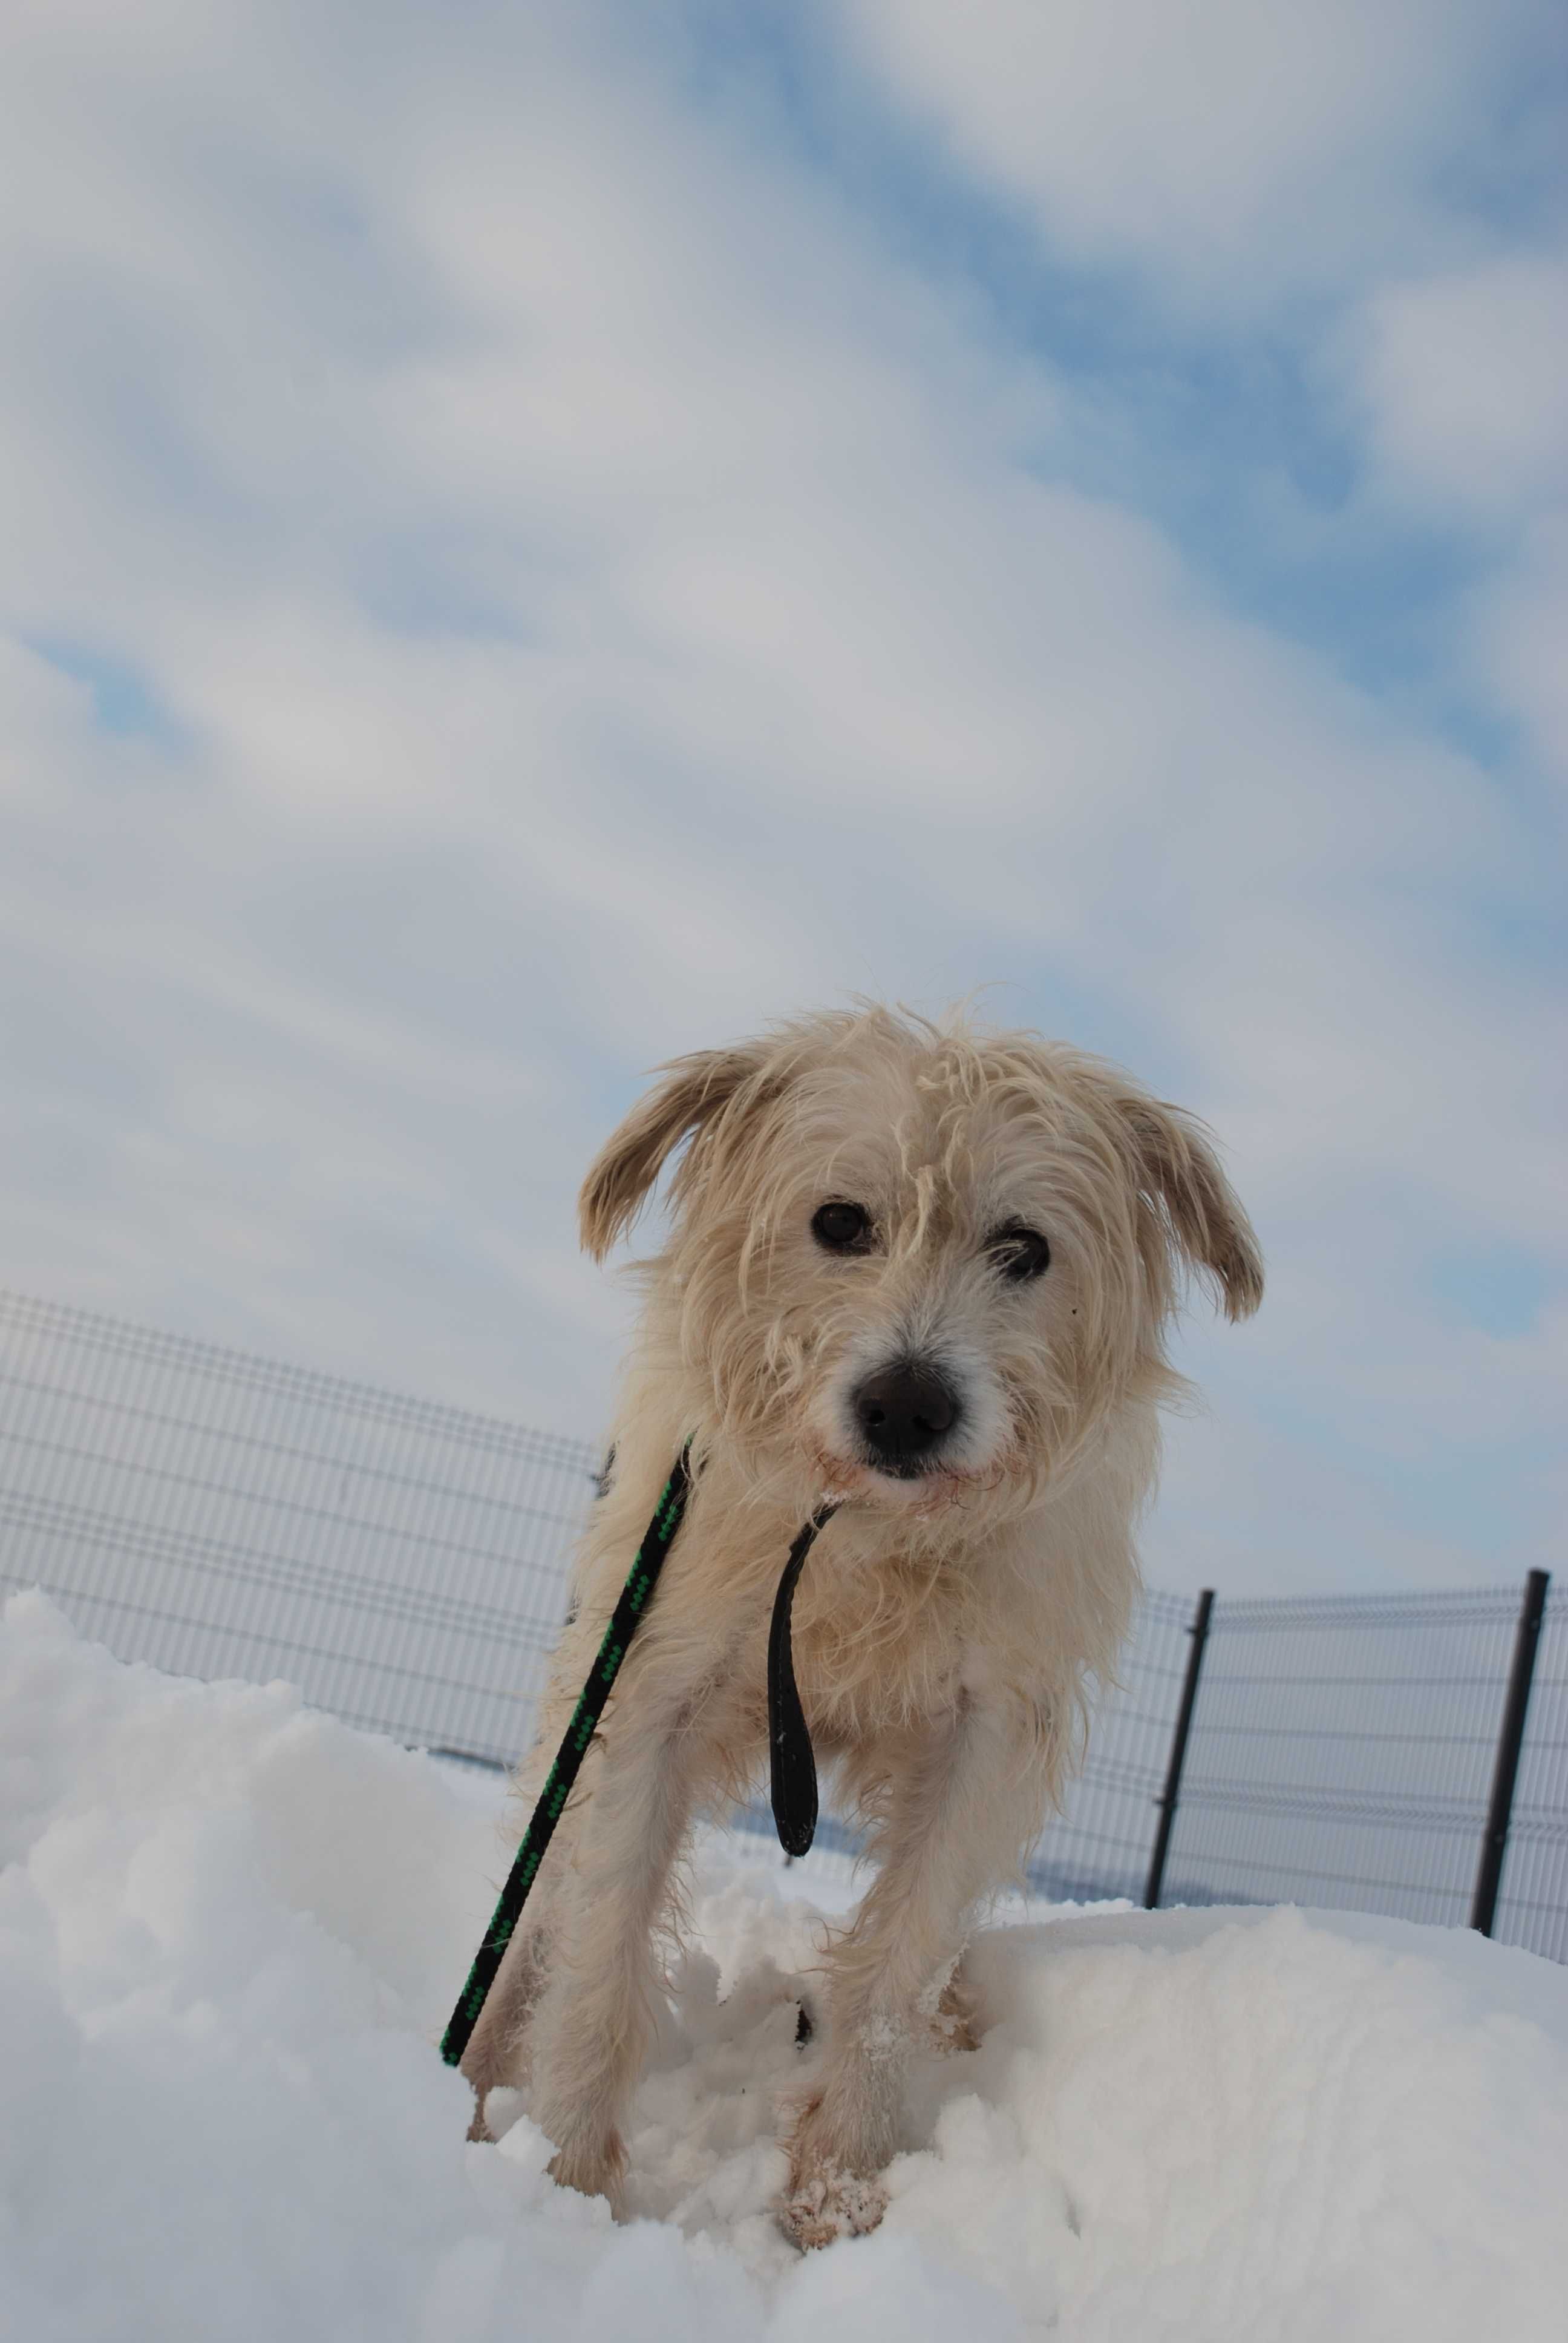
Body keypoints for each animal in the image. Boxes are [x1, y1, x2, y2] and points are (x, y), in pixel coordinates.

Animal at [462, 1007, 1256, 2249]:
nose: (906, 1406)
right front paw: (570, 2177)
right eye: (840, 1222)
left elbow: (896, 1964)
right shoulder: (650, 1692)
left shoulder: (984, 1737)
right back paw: (478, 2077)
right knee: (538, 1905)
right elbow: (601, 1941)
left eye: (1023, 1248)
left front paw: (836, 2190)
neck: (865, 1533)